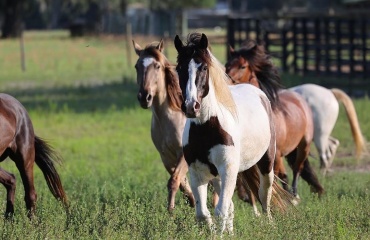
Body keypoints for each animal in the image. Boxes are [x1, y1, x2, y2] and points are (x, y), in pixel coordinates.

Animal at [133, 39, 197, 212]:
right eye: (137, 66)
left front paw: (171, 211)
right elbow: (182, 183)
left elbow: (174, 181)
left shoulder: (183, 154)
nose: (144, 97)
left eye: (157, 66)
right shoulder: (166, 157)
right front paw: (192, 202)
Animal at [174, 32, 294, 233]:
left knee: (264, 195)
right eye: (179, 68)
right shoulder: (198, 172)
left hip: (266, 162)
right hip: (218, 176)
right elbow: (203, 214)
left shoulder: (228, 169)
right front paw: (215, 233)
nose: (191, 106)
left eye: (204, 67)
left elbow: (220, 211)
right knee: (230, 205)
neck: (206, 128)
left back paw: (269, 224)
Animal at [223, 40, 324, 198]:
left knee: (297, 169)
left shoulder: (273, 156)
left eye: (243, 66)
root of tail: (300, 99)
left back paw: (294, 195)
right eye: (227, 64)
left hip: (303, 146)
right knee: (285, 174)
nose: (226, 80)